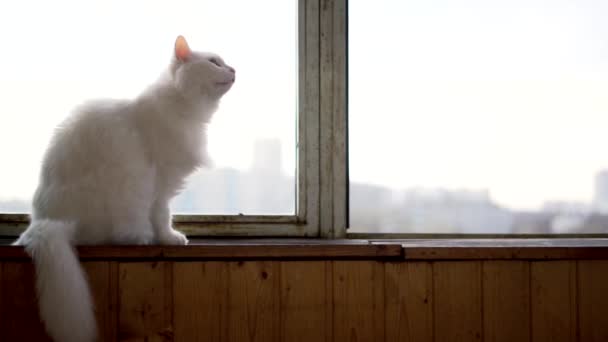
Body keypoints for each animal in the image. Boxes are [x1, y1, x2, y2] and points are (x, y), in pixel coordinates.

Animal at [12, 35, 235, 342]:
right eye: (214, 62)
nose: (234, 69)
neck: (181, 107)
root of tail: (45, 222)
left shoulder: (163, 184)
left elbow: (162, 217)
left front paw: (167, 239)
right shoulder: (156, 178)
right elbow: (162, 215)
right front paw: (163, 237)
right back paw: (139, 238)